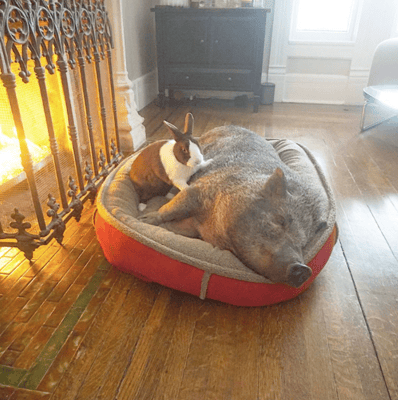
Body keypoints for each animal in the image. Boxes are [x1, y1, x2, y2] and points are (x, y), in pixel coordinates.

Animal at [138, 126, 328, 288]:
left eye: (303, 242)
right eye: (280, 221)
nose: (304, 270)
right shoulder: (200, 189)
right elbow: (172, 208)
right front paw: (144, 219)